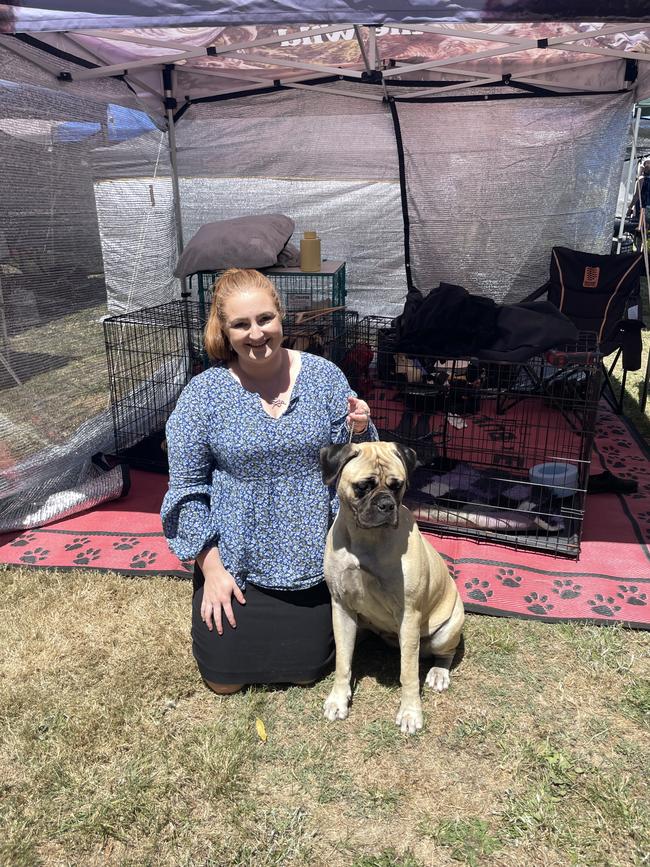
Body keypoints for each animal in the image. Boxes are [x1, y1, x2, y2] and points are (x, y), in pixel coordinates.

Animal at [318, 440, 460, 732]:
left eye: (397, 486)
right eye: (363, 486)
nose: (386, 505)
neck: (367, 541)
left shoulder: (409, 614)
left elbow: (409, 672)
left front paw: (410, 712)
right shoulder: (342, 607)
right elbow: (343, 661)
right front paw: (338, 699)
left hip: (447, 629)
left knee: (445, 653)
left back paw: (439, 673)